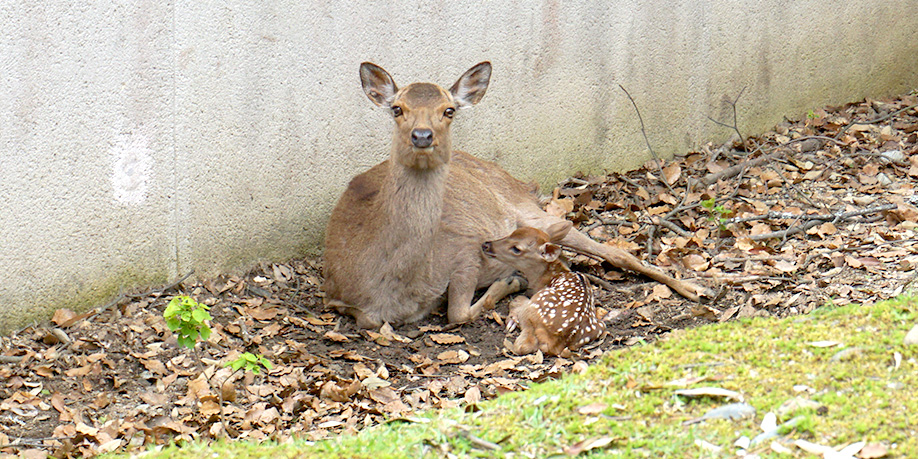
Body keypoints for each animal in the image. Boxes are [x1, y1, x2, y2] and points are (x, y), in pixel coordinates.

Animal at [323, 61, 709, 329]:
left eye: (449, 110)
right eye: (397, 108)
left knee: (614, 252)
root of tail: (519, 181)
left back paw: (698, 288)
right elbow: (373, 319)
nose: (422, 135)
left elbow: (458, 313)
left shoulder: (464, 250)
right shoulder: (337, 296)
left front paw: (507, 282)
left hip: (529, 213)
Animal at [481, 221, 605, 356]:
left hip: (535, 305)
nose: (486, 244)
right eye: (511, 233)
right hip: (601, 325)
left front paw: (512, 320)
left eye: (516, 248)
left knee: (524, 344)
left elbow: (517, 298)